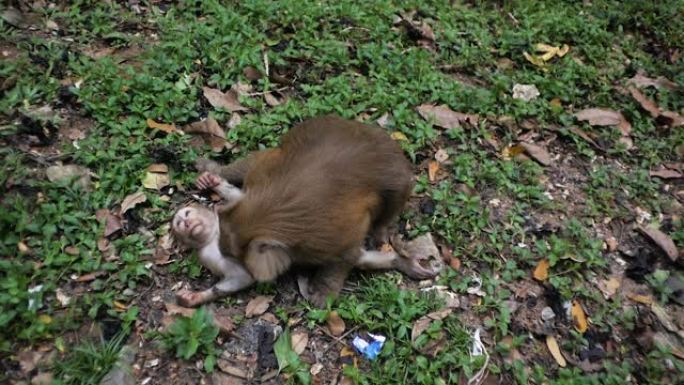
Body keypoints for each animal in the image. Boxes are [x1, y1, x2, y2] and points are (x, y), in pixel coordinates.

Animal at [172, 115, 444, 306]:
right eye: (180, 223)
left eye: (186, 216)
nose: (184, 223)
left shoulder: (329, 237)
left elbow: (345, 254)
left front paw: (325, 290)